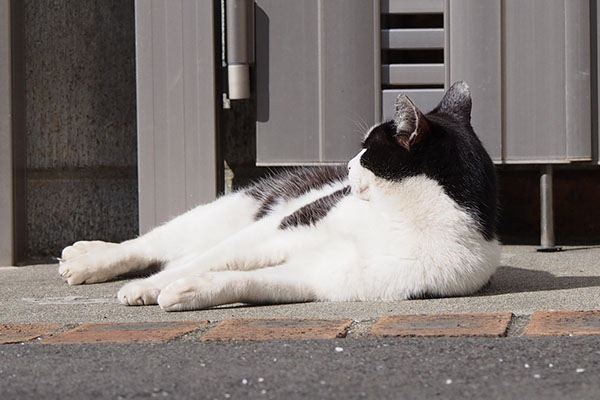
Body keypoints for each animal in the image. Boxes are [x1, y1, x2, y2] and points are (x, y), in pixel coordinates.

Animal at [59, 82, 502, 312]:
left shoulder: (324, 277)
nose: (346, 165)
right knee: (155, 244)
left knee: (181, 253)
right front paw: (147, 288)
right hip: (233, 209)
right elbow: (216, 259)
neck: (397, 217)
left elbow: (244, 280)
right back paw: (87, 258)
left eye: (366, 151)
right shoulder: (282, 227)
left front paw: (188, 291)